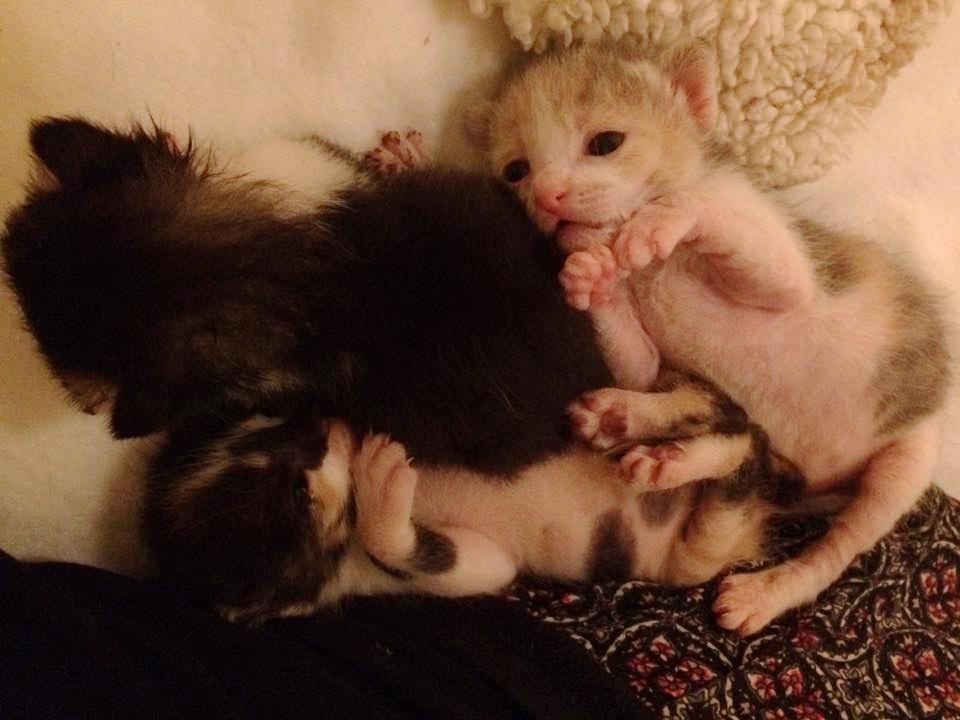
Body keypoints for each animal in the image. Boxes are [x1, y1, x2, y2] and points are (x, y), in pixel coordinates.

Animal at [472, 41, 951, 633]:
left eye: (605, 143)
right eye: (516, 171)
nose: (548, 197)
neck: (652, 271)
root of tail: (813, 483)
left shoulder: (777, 256)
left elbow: (724, 229)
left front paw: (660, 221)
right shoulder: (647, 361)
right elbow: (639, 363)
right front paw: (589, 274)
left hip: (910, 456)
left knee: (839, 543)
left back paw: (764, 591)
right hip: (751, 428)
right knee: (738, 434)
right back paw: (645, 438)